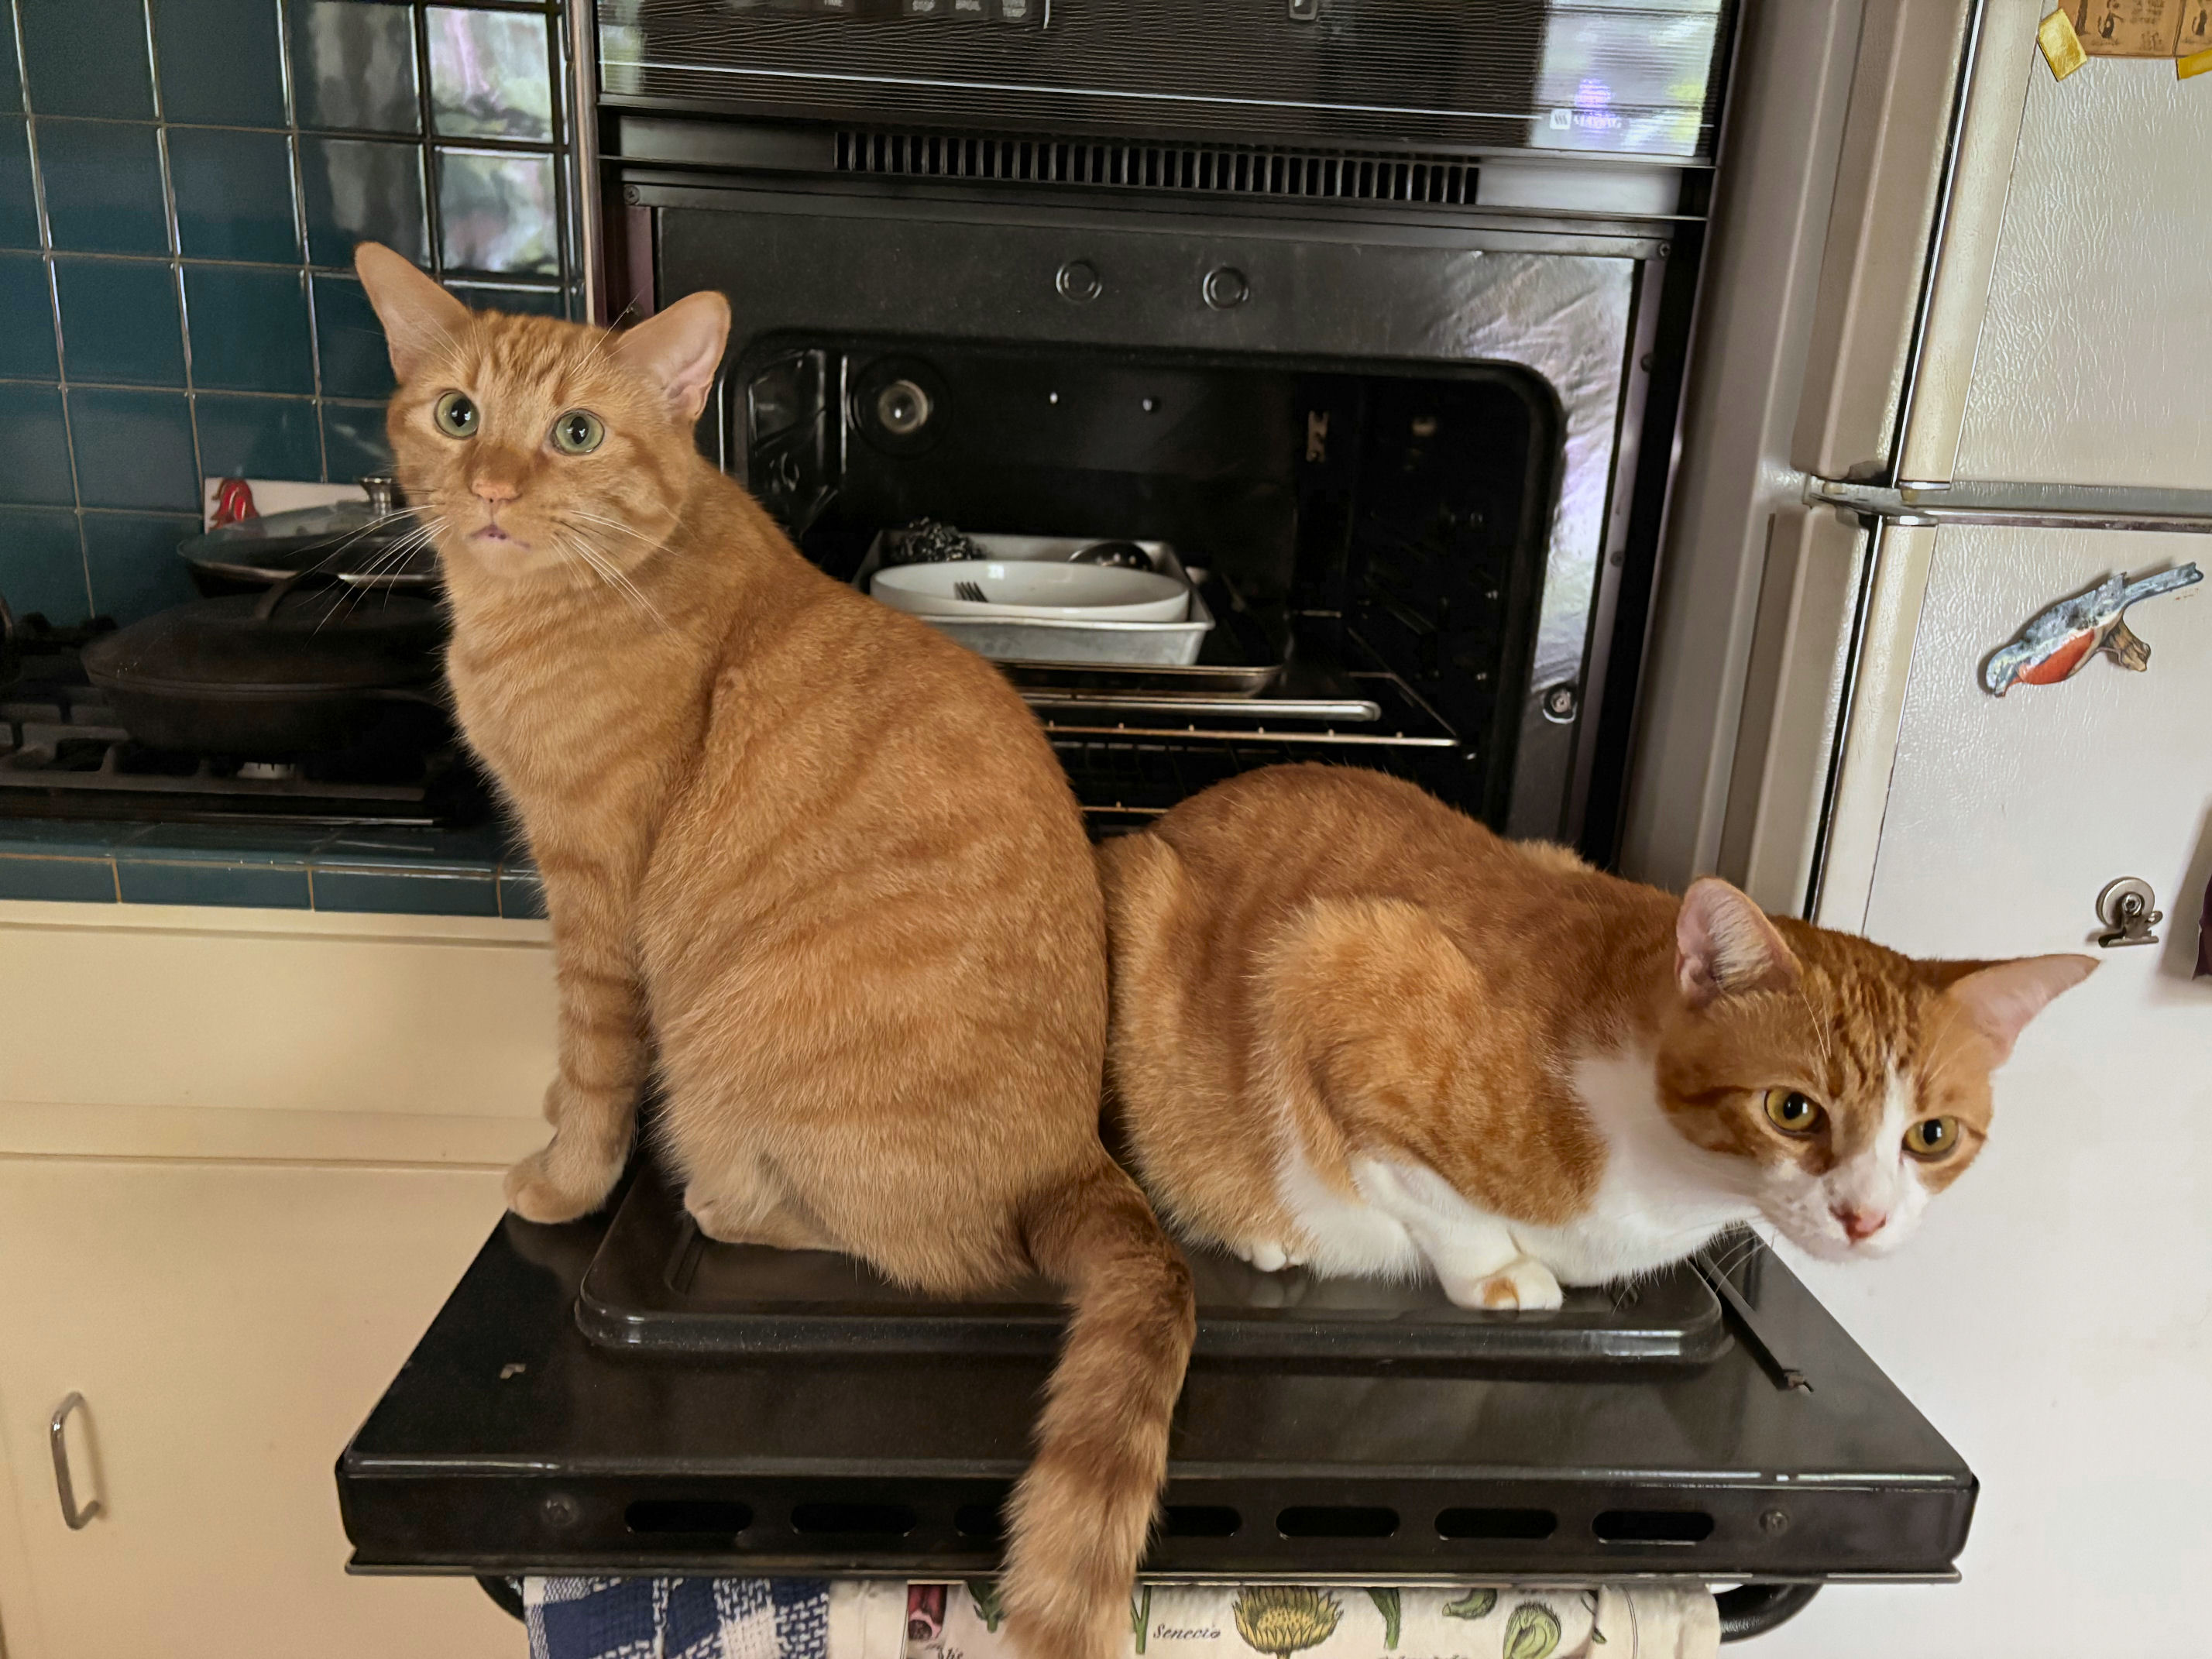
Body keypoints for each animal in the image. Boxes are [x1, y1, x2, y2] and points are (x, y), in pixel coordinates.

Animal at [353, 243, 1193, 1659]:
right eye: (458, 413)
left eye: (575, 433)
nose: (495, 488)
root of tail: (1079, 1152)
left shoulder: (594, 896)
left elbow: (595, 1067)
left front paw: (566, 1177)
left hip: (736, 1061)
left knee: (901, 1245)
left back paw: (723, 1193)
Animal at [1098, 763, 2095, 1308]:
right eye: (1792, 1110)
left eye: (1932, 1136)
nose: (1867, 1218)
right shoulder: (1328, 970)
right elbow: (1427, 1195)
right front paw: (1500, 1277)